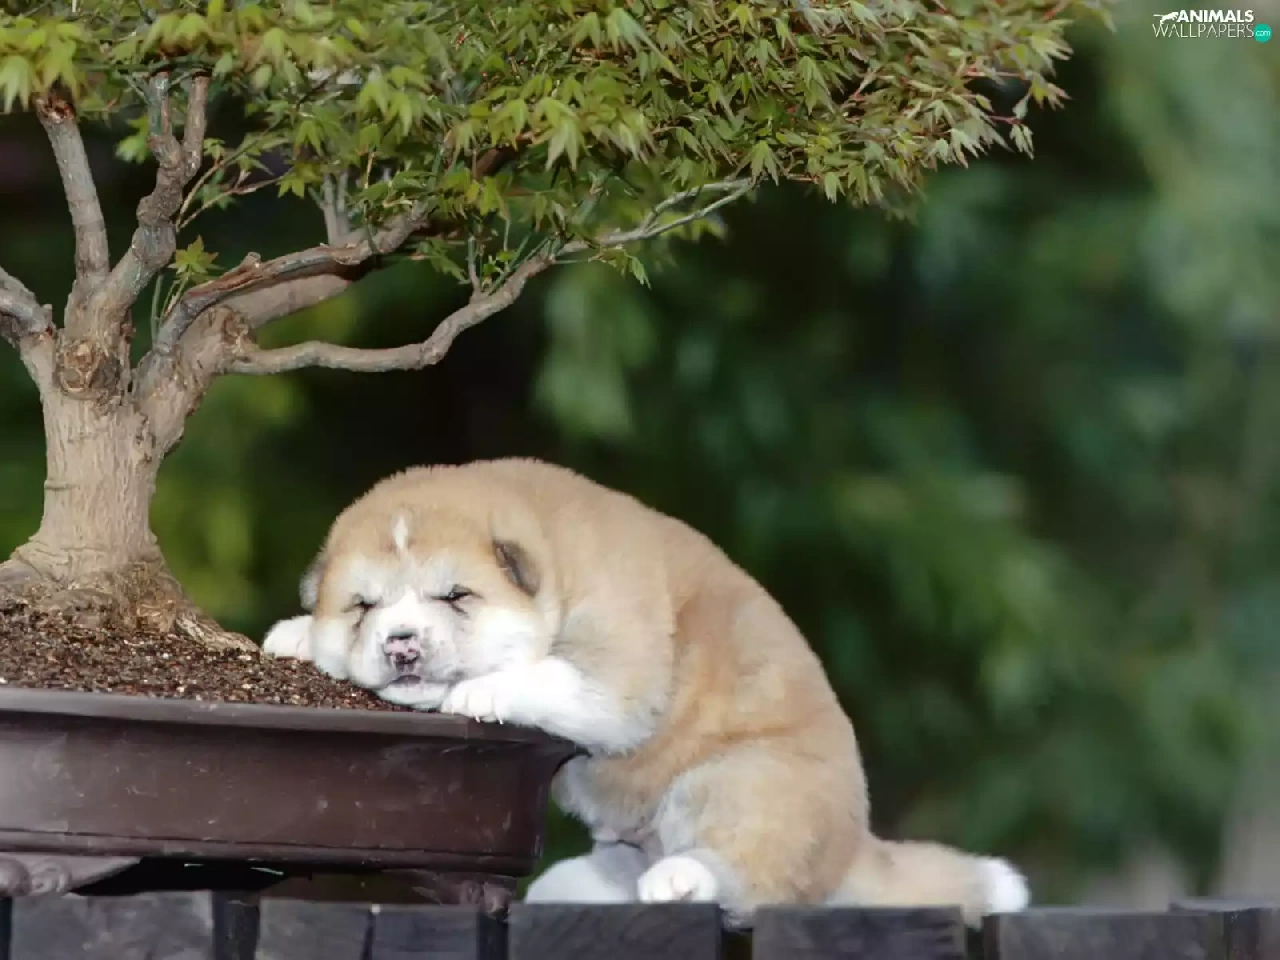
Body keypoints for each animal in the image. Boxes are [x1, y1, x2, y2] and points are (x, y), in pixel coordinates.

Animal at [263, 458, 1029, 926]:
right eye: (363, 607)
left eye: (455, 596)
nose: (401, 644)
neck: (556, 561)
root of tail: (854, 844)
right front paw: (295, 635)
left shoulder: (617, 673)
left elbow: (550, 673)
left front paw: (478, 693)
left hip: (736, 783)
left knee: (744, 876)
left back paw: (680, 881)